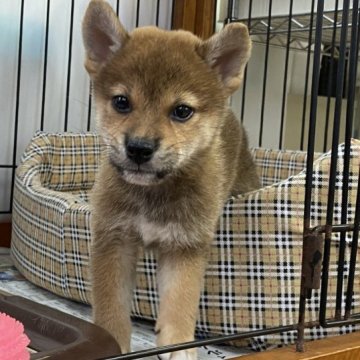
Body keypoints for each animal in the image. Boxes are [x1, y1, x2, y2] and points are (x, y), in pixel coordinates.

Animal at [83, 0, 260, 358]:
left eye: (182, 111)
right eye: (122, 102)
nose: (139, 148)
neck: (153, 194)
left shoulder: (185, 247)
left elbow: (179, 310)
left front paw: (179, 350)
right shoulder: (114, 239)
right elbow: (111, 309)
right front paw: (110, 344)